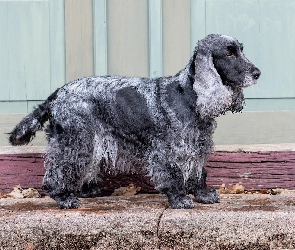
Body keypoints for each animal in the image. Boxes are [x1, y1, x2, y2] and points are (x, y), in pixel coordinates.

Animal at [8, 34, 262, 208]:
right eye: (229, 53)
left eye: (241, 50)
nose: (257, 73)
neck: (189, 96)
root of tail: (57, 93)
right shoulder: (169, 149)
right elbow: (173, 174)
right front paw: (180, 199)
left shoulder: (197, 146)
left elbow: (199, 172)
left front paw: (203, 194)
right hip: (75, 139)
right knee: (58, 170)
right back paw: (64, 198)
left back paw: (88, 191)